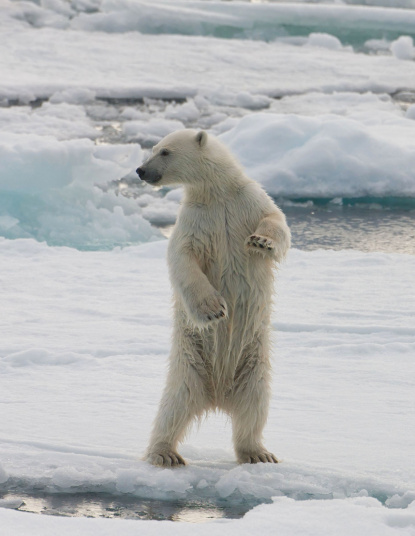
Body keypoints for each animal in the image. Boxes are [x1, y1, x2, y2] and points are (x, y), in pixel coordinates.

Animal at [136, 129, 290, 464]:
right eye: (153, 149)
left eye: (164, 151)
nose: (140, 171)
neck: (217, 194)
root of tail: (218, 396)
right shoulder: (196, 220)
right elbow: (182, 258)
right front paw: (214, 310)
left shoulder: (247, 200)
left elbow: (276, 221)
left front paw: (261, 241)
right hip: (189, 365)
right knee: (173, 408)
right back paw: (165, 454)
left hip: (254, 365)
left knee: (254, 408)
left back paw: (258, 453)